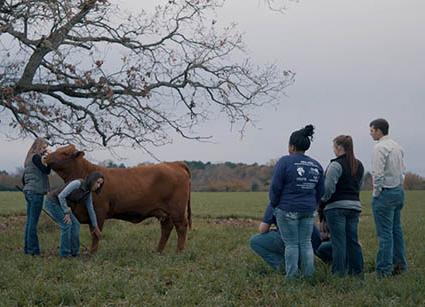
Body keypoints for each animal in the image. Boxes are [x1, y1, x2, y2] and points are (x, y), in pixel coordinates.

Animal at [44, 146, 190, 254]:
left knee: (181, 227)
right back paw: (158, 251)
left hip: (177, 210)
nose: (45, 156)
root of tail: (174, 163)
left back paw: (179, 252)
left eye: (64, 153)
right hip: (165, 213)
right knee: (166, 228)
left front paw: (92, 253)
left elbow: (95, 233)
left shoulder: (99, 211)